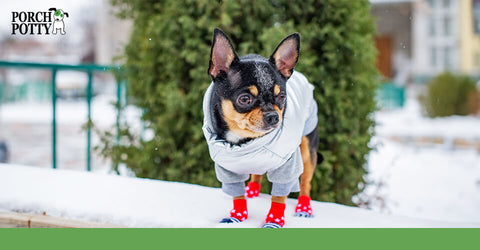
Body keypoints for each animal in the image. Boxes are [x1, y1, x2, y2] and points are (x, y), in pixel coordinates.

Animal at [202, 28, 322, 228]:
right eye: (244, 99)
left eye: (282, 97)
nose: (273, 116)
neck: (246, 141)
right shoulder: (228, 169)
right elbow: (237, 194)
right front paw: (237, 216)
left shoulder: (287, 167)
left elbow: (279, 197)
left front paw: (274, 221)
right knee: (257, 174)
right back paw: (252, 191)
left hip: (307, 150)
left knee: (306, 181)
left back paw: (304, 208)